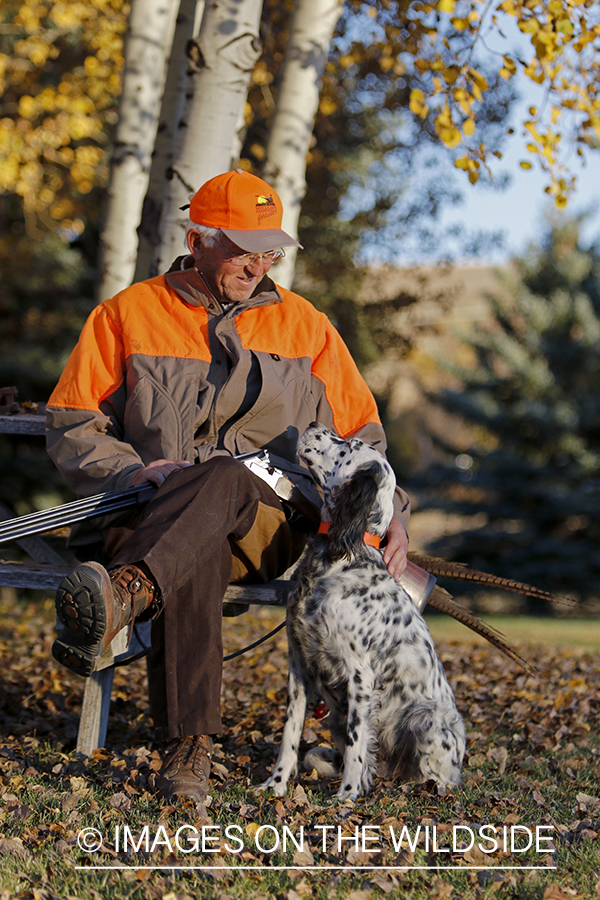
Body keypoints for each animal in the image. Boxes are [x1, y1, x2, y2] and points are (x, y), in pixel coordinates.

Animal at [262, 424, 464, 800]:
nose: (312, 425)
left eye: (350, 445)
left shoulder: (360, 674)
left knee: (443, 778)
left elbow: (358, 741)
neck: (338, 558)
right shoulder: (299, 664)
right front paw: (276, 783)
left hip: (427, 718)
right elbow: (290, 732)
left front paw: (347, 794)